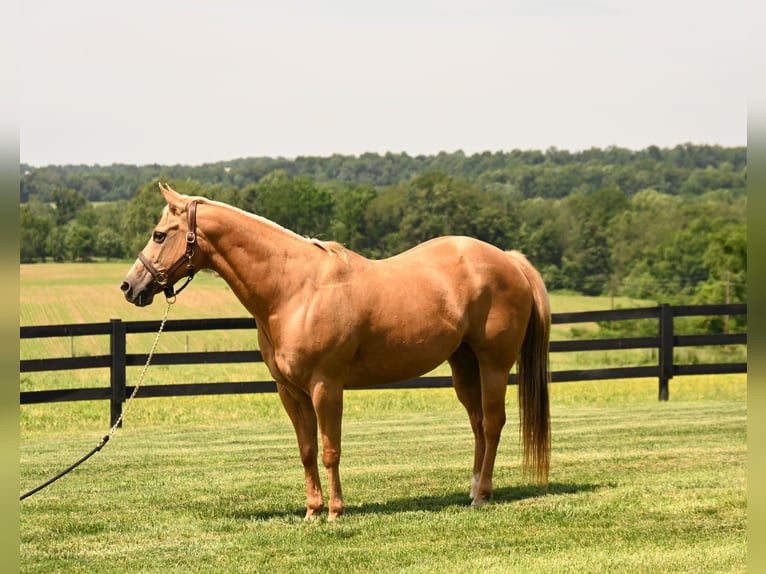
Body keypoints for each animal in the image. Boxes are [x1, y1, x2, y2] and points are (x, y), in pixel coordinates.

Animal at [121, 183, 551, 520]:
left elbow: (330, 449)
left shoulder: (326, 386)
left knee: (492, 423)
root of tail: (509, 260)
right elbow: (307, 449)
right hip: (463, 364)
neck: (294, 289)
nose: (130, 286)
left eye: (159, 234)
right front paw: (312, 510)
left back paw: (482, 495)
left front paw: (334, 510)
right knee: (477, 424)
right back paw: (473, 489)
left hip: (494, 364)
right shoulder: (290, 392)